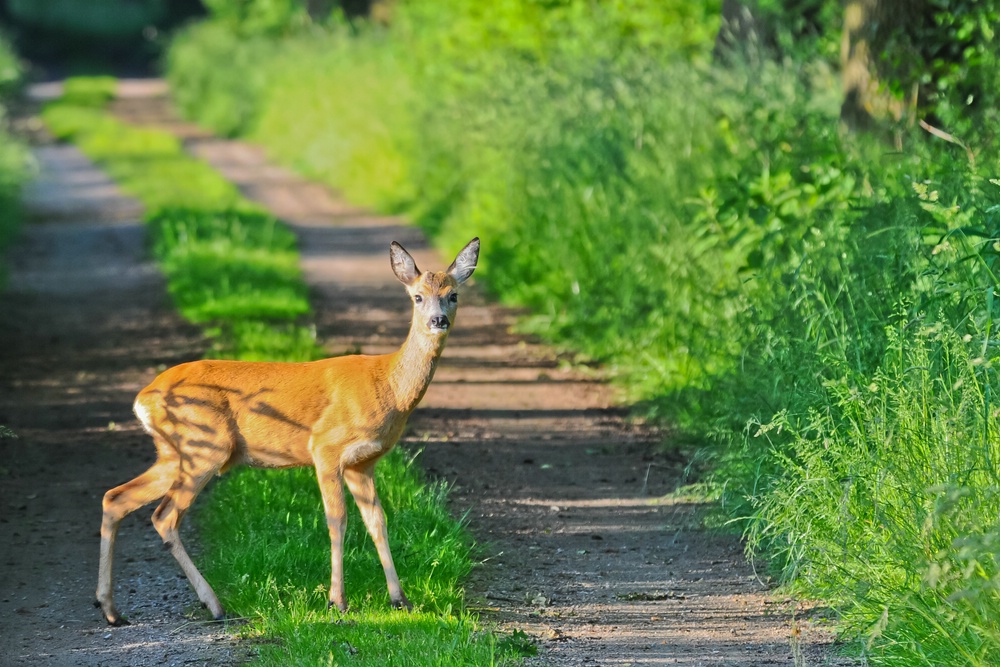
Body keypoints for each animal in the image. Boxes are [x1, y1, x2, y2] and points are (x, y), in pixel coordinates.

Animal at [95, 238, 480, 626]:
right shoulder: (325, 447)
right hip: (204, 445)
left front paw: (400, 600)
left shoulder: (363, 463)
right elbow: (337, 520)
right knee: (164, 516)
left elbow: (378, 522)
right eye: (417, 296)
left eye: (453, 295)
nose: (438, 320)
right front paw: (337, 601)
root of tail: (144, 397)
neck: (387, 384)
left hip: (175, 453)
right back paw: (214, 604)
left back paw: (111, 610)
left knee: (116, 497)